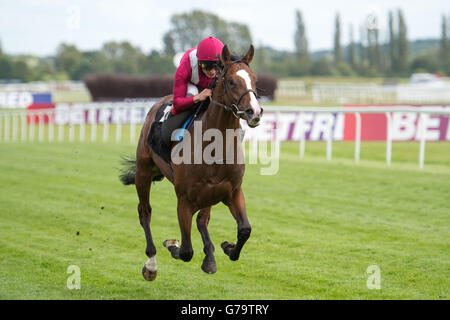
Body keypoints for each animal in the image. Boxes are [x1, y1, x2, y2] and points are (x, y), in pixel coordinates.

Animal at [119, 45, 264, 280]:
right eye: (231, 81)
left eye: (254, 78)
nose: (255, 112)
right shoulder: (184, 200)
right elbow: (186, 251)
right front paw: (172, 244)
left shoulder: (232, 191)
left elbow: (244, 230)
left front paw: (227, 247)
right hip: (143, 172)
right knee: (145, 212)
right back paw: (151, 264)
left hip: (209, 195)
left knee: (202, 220)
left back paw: (210, 257)